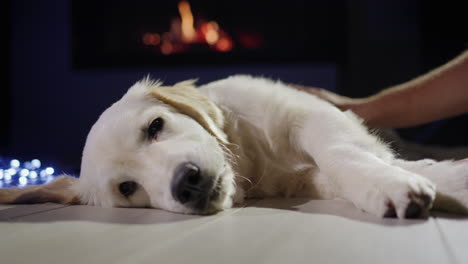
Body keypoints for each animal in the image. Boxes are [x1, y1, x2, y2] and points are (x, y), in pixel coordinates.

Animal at [0, 75, 468, 218]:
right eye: (127, 189)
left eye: (155, 126)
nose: (186, 184)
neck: (252, 158)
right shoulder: (307, 180)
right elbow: (342, 171)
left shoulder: (311, 117)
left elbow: (342, 154)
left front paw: (401, 182)